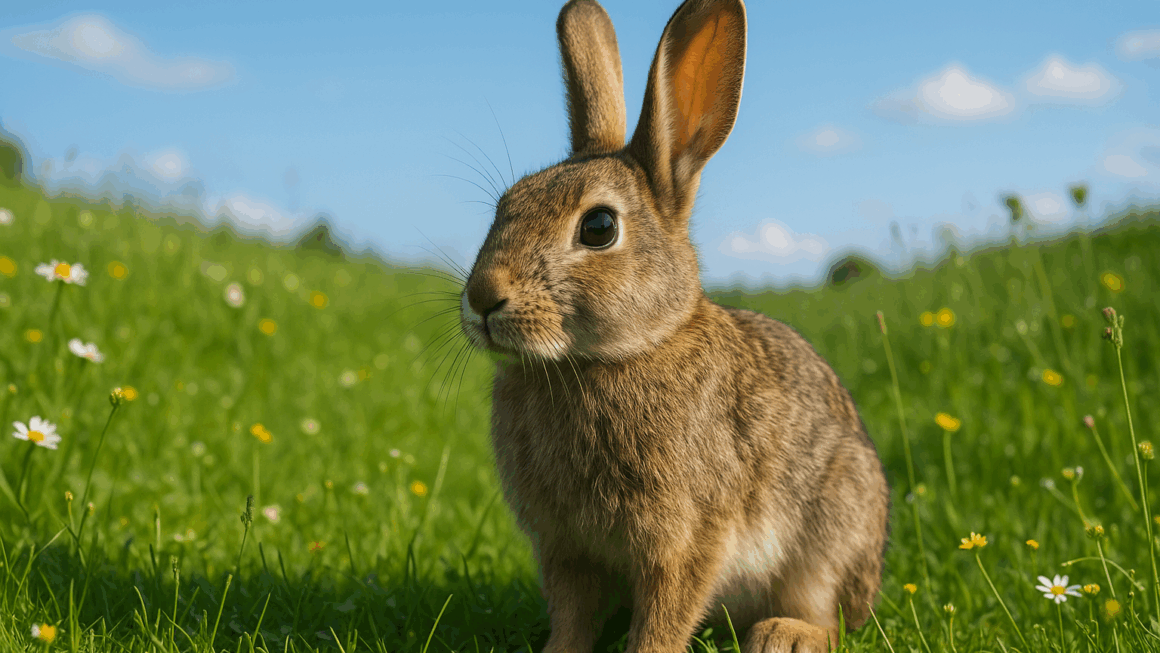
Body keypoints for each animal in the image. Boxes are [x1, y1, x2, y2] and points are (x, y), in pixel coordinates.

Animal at [457, 0, 890, 651]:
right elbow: (573, 615)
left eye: (599, 227)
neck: (615, 355)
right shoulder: (566, 550)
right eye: (505, 204)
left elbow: (665, 613)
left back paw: (784, 634)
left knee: (830, 617)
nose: (483, 297)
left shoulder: (686, 538)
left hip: (829, 536)